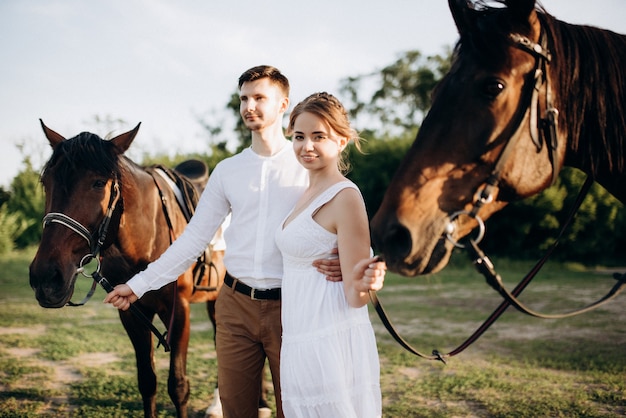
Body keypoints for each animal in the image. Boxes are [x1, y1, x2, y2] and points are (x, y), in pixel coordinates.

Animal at [30, 119, 227, 416]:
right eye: (46, 181)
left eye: (99, 183)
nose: (46, 277)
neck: (148, 239)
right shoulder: (131, 313)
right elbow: (147, 381)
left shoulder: (179, 310)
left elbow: (178, 386)